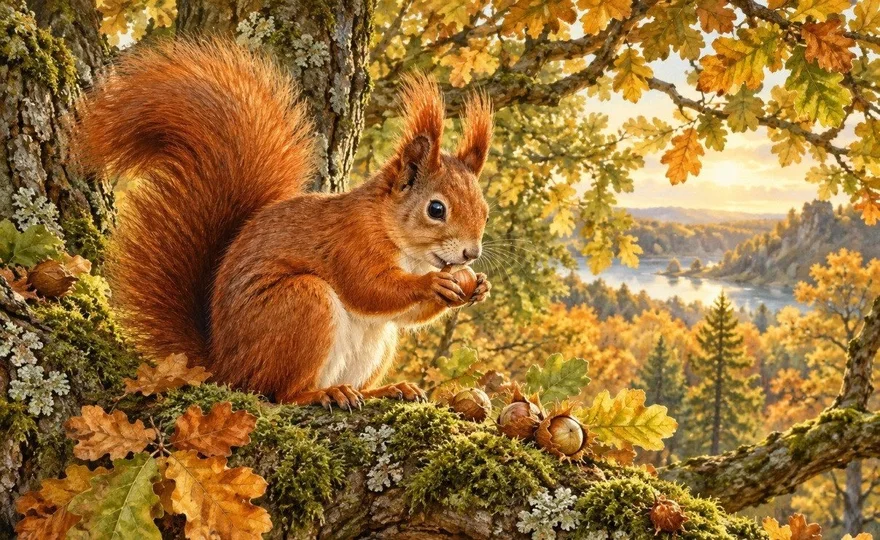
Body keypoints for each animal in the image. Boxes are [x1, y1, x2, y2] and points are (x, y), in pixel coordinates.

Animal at [75, 40, 493, 408]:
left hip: (378, 344)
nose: (471, 254)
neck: (401, 242)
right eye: (436, 209)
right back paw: (324, 394)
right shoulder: (348, 242)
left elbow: (405, 314)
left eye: (485, 210)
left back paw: (386, 390)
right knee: (280, 393)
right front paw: (432, 284)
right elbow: (370, 290)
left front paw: (477, 287)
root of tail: (225, 370)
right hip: (302, 305)